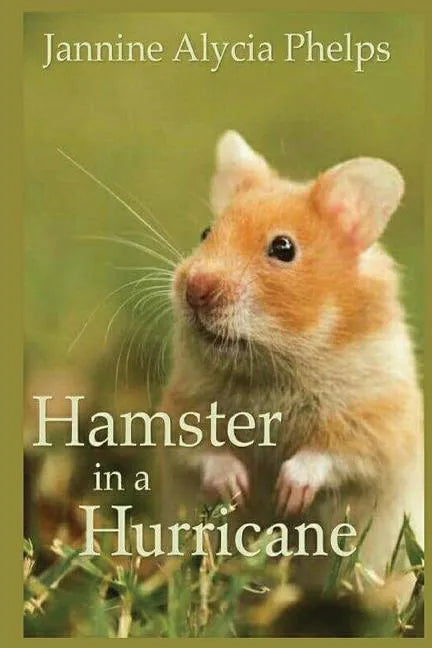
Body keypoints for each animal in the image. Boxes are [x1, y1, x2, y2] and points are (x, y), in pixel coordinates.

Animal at [159, 131, 423, 597]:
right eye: (206, 232)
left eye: (283, 249)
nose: (196, 289)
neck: (272, 366)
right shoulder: (180, 409)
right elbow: (201, 449)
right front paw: (238, 490)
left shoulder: (379, 421)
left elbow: (330, 453)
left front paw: (287, 495)